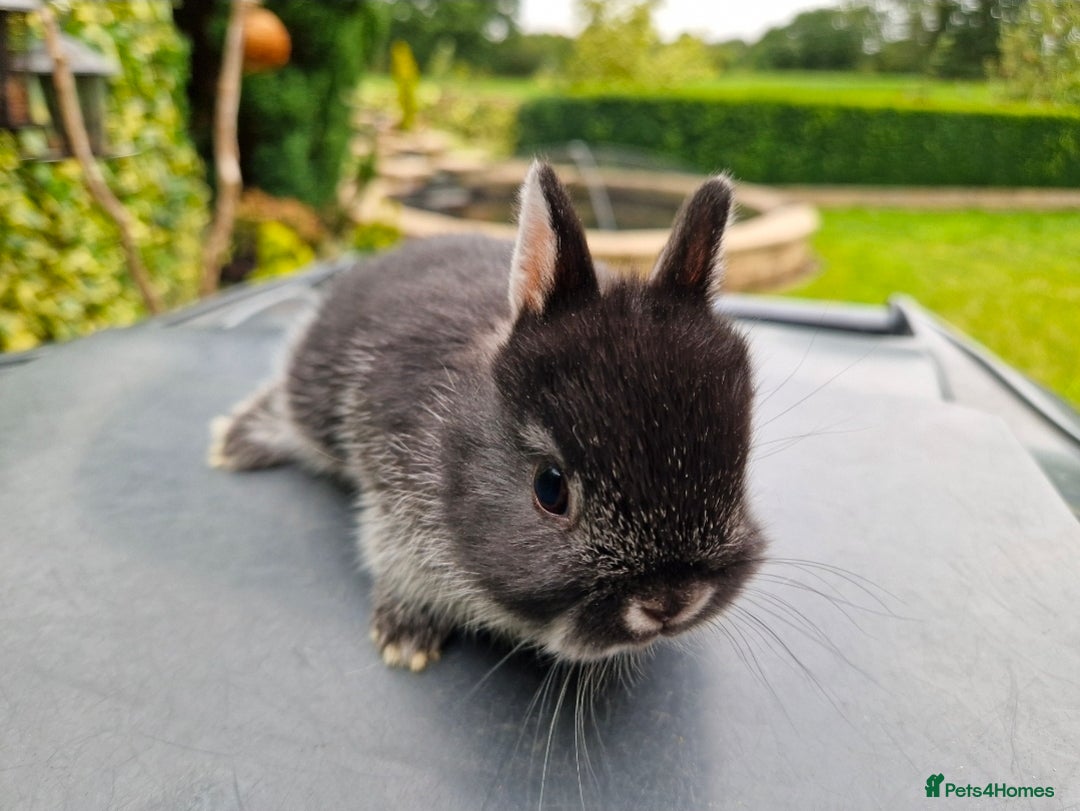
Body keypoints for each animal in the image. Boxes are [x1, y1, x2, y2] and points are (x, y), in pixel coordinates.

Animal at [209, 161, 766, 672]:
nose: (670, 603)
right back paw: (231, 443)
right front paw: (405, 640)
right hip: (315, 401)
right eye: (550, 488)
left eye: (739, 470)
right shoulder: (394, 499)